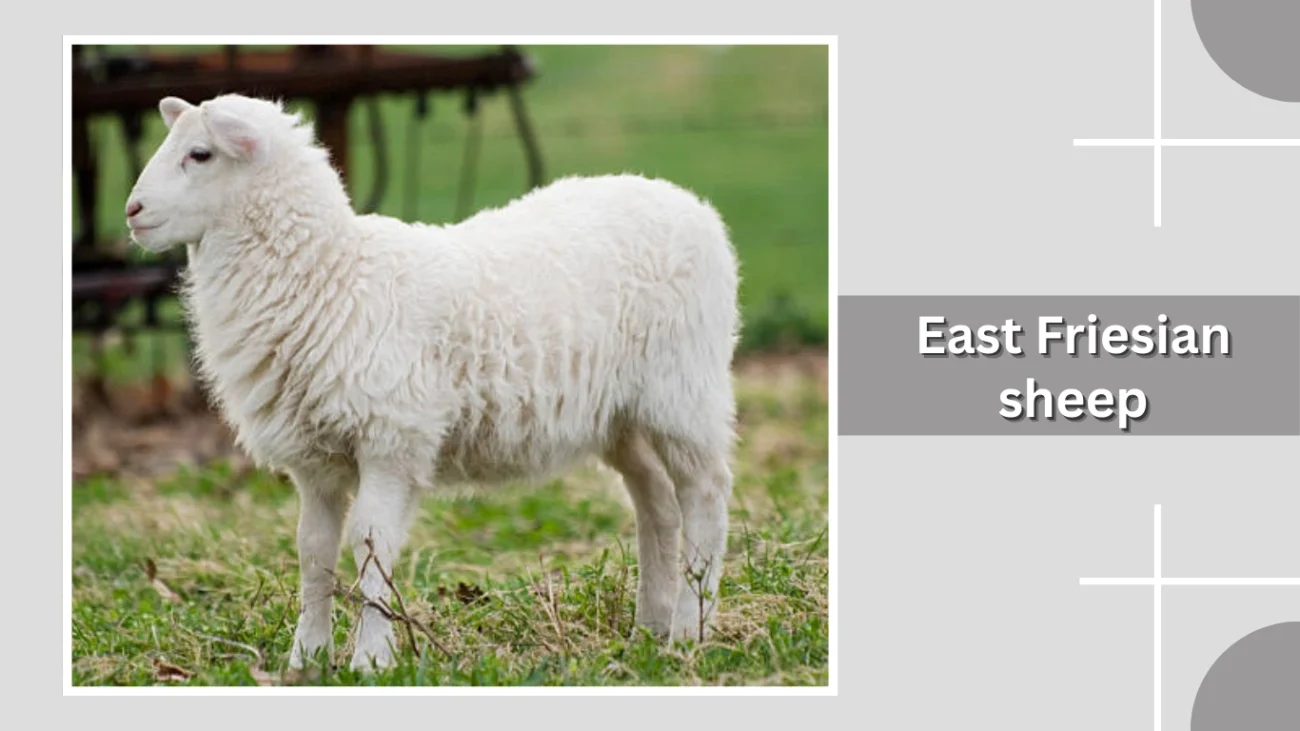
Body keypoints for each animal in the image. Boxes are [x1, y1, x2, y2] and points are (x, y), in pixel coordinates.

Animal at [125, 93, 740, 671]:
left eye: (200, 154)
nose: (132, 210)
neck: (333, 275)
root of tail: (687, 202)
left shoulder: (391, 438)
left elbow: (370, 543)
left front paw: (370, 659)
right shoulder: (315, 459)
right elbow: (313, 550)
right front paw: (307, 658)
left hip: (682, 389)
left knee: (704, 493)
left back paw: (691, 628)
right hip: (620, 414)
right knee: (656, 500)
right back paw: (649, 628)